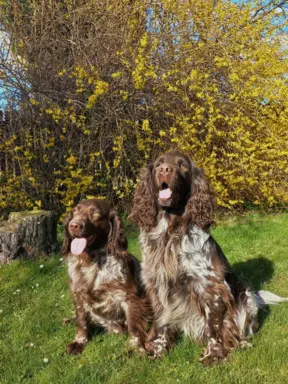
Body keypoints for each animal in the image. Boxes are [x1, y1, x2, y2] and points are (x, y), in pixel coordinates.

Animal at [61, 200, 150, 356]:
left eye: (95, 213)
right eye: (75, 211)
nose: (73, 225)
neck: (92, 261)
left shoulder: (129, 297)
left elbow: (134, 326)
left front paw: (135, 348)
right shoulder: (78, 294)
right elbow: (82, 321)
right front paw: (79, 342)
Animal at [129, 148, 286, 364]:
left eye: (182, 165)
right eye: (158, 164)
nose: (164, 170)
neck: (171, 232)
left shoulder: (210, 286)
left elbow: (214, 326)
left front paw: (214, 354)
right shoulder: (158, 284)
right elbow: (161, 322)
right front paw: (158, 349)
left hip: (246, 298)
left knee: (241, 329)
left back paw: (242, 343)